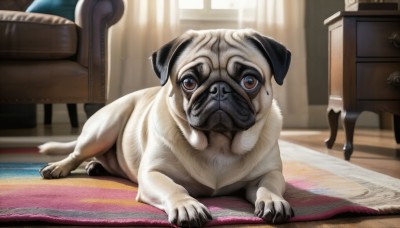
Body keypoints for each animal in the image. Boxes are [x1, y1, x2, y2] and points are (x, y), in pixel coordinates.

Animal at [39, 29, 292, 226]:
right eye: (189, 82)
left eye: (249, 81)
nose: (218, 89)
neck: (218, 143)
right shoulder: (153, 173)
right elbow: (174, 188)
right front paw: (187, 206)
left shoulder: (270, 172)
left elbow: (268, 184)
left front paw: (273, 200)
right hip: (103, 129)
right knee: (76, 154)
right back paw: (58, 168)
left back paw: (96, 166)